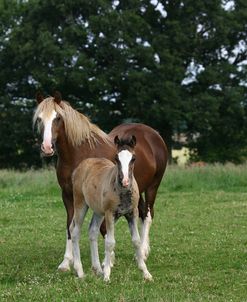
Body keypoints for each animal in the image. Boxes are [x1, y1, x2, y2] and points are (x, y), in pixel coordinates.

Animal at [70, 136, 152, 282]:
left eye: (133, 158)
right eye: (116, 158)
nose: (125, 181)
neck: (123, 192)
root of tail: (80, 166)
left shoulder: (132, 213)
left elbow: (136, 241)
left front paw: (146, 273)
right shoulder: (110, 214)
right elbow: (109, 242)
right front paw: (107, 275)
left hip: (98, 211)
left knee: (92, 231)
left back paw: (97, 269)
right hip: (80, 203)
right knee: (75, 231)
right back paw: (80, 271)